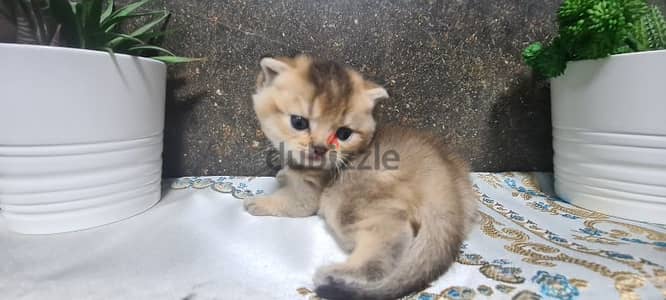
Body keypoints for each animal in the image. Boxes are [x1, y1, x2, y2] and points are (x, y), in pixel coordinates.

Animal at [246, 55, 474, 298]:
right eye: (299, 122)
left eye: (343, 133)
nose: (320, 149)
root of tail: (444, 182)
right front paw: (282, 174)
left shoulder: (306, 195)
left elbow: (289, 202)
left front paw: (258, 202)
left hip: (349, 202)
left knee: (390, 240)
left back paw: (336, 273)